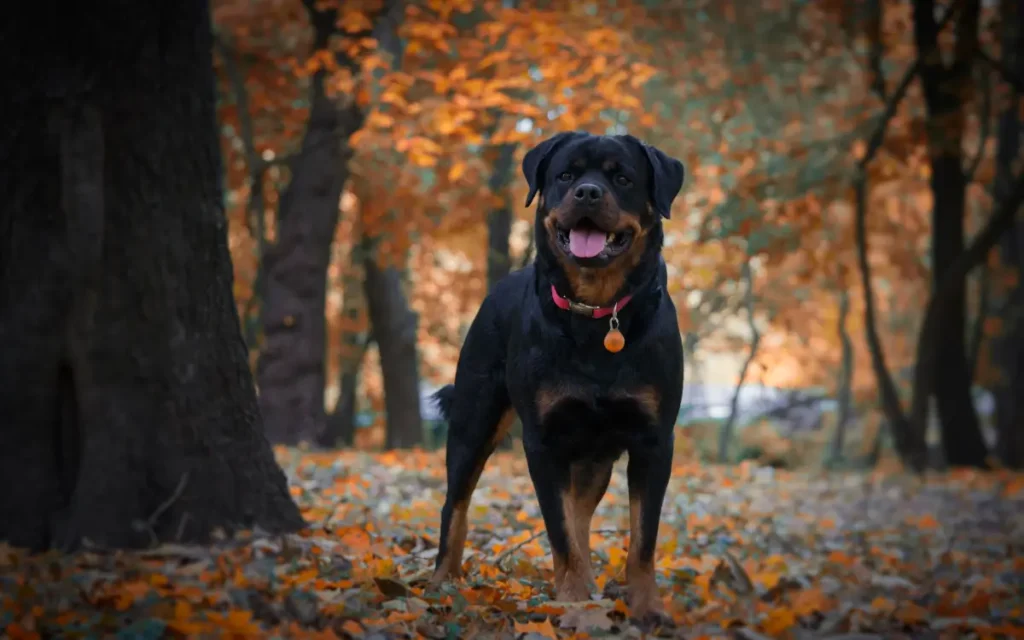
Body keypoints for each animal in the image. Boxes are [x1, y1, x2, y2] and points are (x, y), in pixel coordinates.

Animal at [428, 131, 684, 618]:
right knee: (456, 503)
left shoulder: (654, 440)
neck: (598, 315)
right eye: (566, 175)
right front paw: (572, 604)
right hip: (475, 420)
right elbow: (559, 530)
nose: (587, 192)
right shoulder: (543, 442)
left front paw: (647, 607)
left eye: (622, 178)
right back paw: (443, 582)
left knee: (581, 513)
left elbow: (641, 538)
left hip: (595, 454)